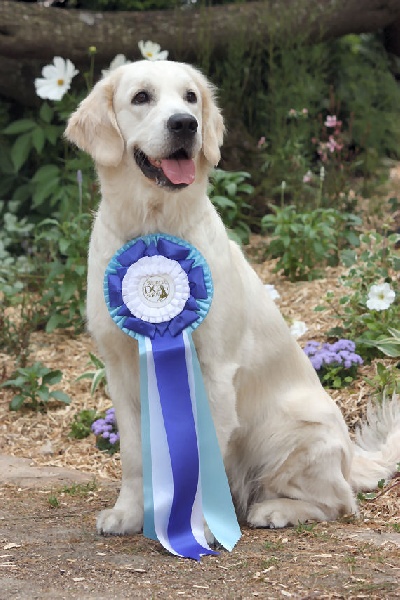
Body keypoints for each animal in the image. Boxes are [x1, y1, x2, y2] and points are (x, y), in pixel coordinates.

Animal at [65, 59, 400, 540]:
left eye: (190, 97)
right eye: (141, 97)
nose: (185, 124)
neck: (153, 225)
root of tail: (353, 458)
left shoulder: (215, 373)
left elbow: (206, 461)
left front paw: (199, 527)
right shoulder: (122, 372)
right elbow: (133, 455)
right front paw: (129, 514)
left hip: (291, 431)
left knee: (339, 501)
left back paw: (274, 510)